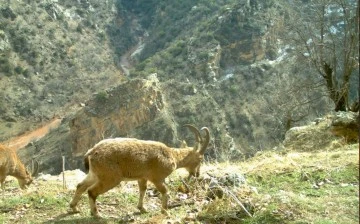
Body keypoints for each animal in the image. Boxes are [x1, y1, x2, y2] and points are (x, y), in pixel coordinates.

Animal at [70, 124, 210, 217]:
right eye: (200, 159)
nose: (197, 174)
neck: (172, 156)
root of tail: (91, 153)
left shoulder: (142, 177)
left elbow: (143, 190)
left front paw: (142, 208)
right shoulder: (157, 178)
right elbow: (165, 192)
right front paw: (165, 211)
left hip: (95, 174)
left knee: (81, 186)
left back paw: (74, 208)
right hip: (110, 177)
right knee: (91, 191)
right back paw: (97, 214)